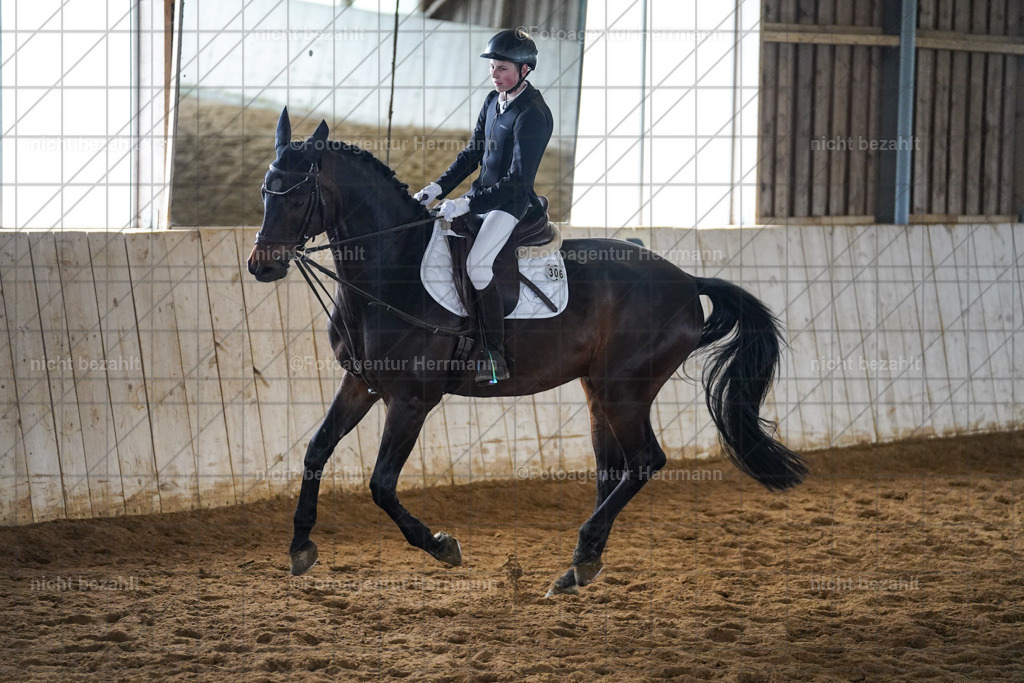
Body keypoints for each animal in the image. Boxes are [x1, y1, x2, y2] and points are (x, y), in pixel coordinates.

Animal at [247, 108, 807, 596]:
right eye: (264, 194)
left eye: (295, 199)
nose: (261, 266)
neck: (392, 269)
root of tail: (688, 281)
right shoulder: (361, 383)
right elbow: (316, 450)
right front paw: (300, 545)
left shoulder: (411, 400)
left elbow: (382, 484)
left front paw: (442, 546)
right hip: (598, 389)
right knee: (613, 468)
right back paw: (580, 565)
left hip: (624, 389)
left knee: (646, 460)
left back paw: (581, 556)